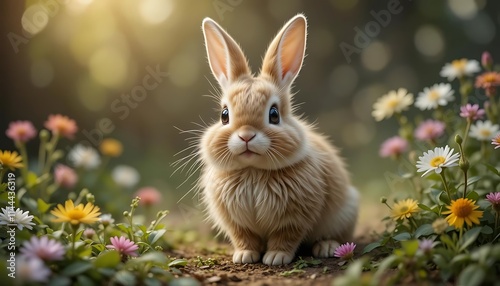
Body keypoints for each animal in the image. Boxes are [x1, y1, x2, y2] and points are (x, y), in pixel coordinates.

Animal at [197, 13, 358, 266]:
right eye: (224, 115)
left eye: (274, 114)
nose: (246, 135)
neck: (253, 171)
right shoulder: (236, 223)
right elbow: (244, 237)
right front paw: (244, 256)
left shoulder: (294, 218)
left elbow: (285, 237)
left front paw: (276, 258)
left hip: (345, 212)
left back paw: (326, 247)